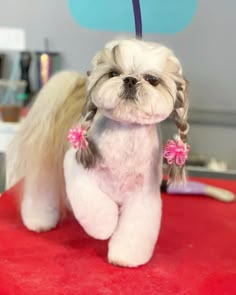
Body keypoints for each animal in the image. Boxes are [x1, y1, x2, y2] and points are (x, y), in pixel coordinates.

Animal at [6, 39, 190, 268]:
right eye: (113, 73)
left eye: (152, 80)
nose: (130, 80)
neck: (125, 137)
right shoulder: (78, 173)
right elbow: (98, 210)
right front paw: (105, 228)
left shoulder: (143, 196)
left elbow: (135, 229)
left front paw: (125, 257)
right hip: (47, 166)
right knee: (41, 191)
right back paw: (39, 220)